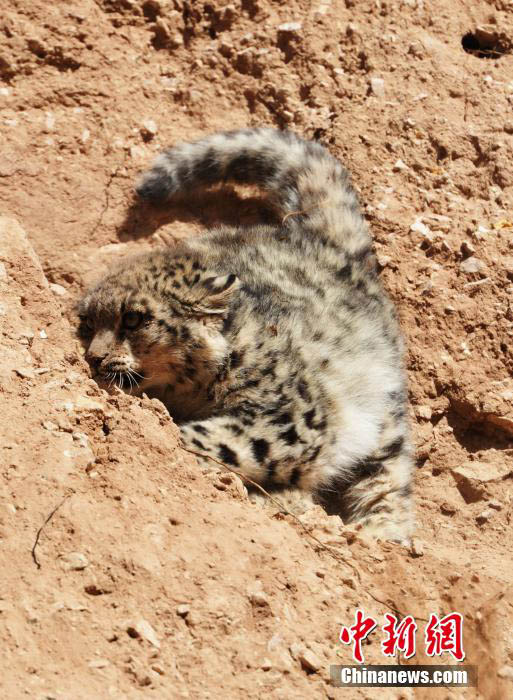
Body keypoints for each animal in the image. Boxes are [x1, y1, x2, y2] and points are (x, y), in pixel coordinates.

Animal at [77, 127, 412, 540]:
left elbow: (218, 440)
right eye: (87, 323)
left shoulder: (291, 418)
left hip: (384, 422)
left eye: (134, 319)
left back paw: (378, 532)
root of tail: (322, 241)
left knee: (388, 481)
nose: (95, 358)